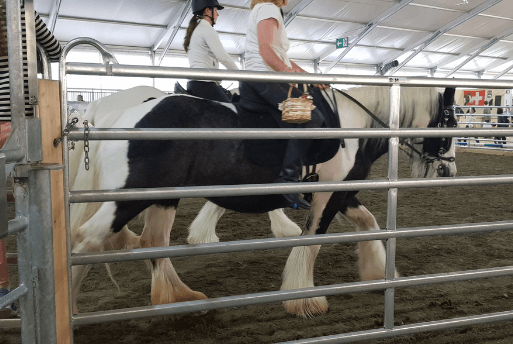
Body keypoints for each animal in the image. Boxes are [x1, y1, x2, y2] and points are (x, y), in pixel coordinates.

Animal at [69, 84, 456, 316]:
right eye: (451, 120)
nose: (449, 171)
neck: (351, 127)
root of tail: (120, 115)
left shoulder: (342, 192)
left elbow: (369, 224)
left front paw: (377, 272)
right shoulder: (328, 195)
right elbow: (312, 241)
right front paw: (305, 299)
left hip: (162, 197)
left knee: (151, 243)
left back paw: (179, 298)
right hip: (130, 198)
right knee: (87, 241)